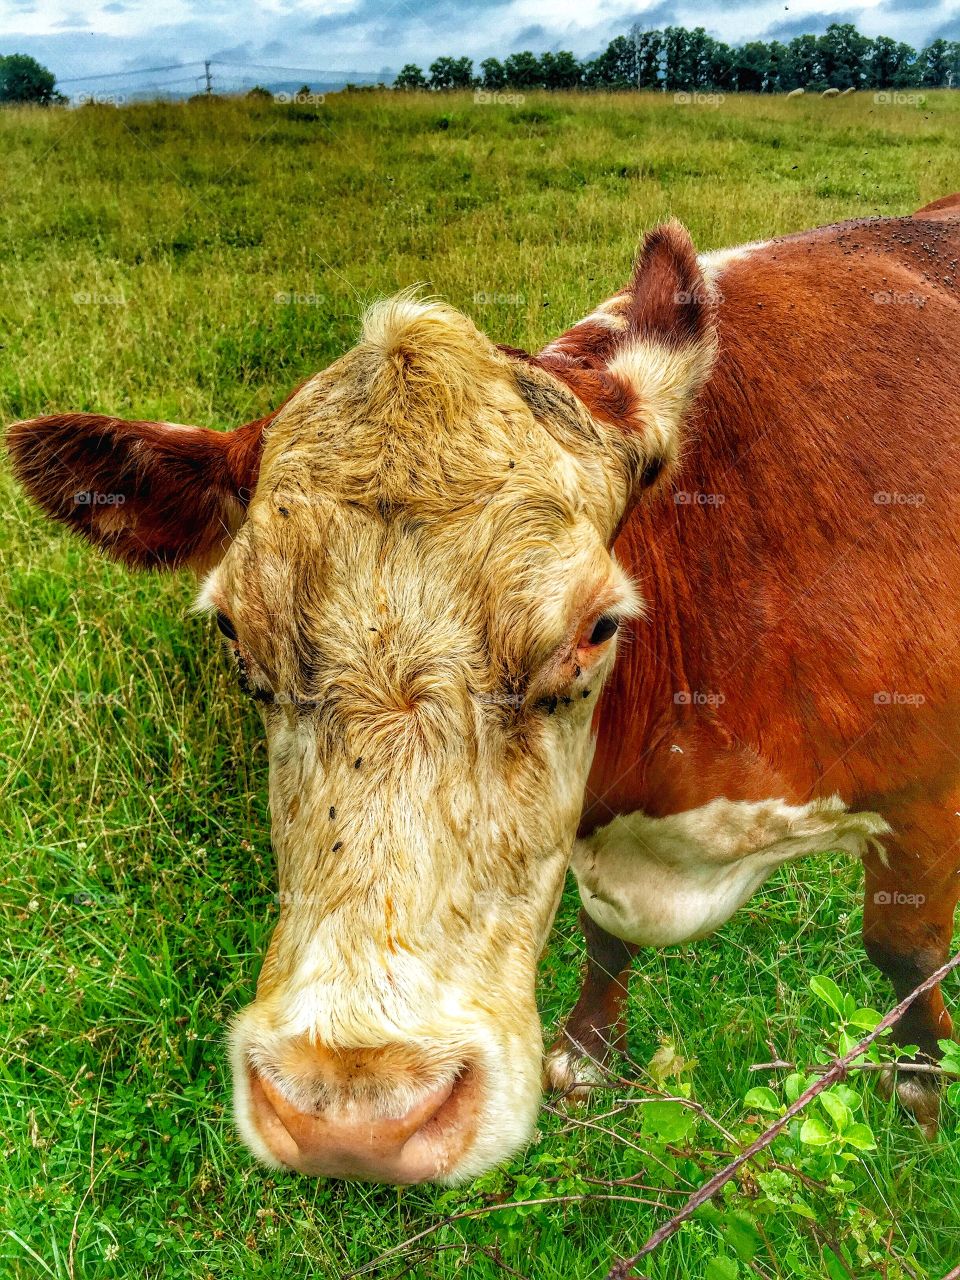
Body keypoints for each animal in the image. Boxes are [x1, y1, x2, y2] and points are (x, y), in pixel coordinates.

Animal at [7, 194, 960, 1182]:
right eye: (234, 633)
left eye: (597, 629)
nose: (357, 1115)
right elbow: (603, 932)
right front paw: (586, 1054)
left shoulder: (927, 798)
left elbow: (904, 954)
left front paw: (919, 1099)